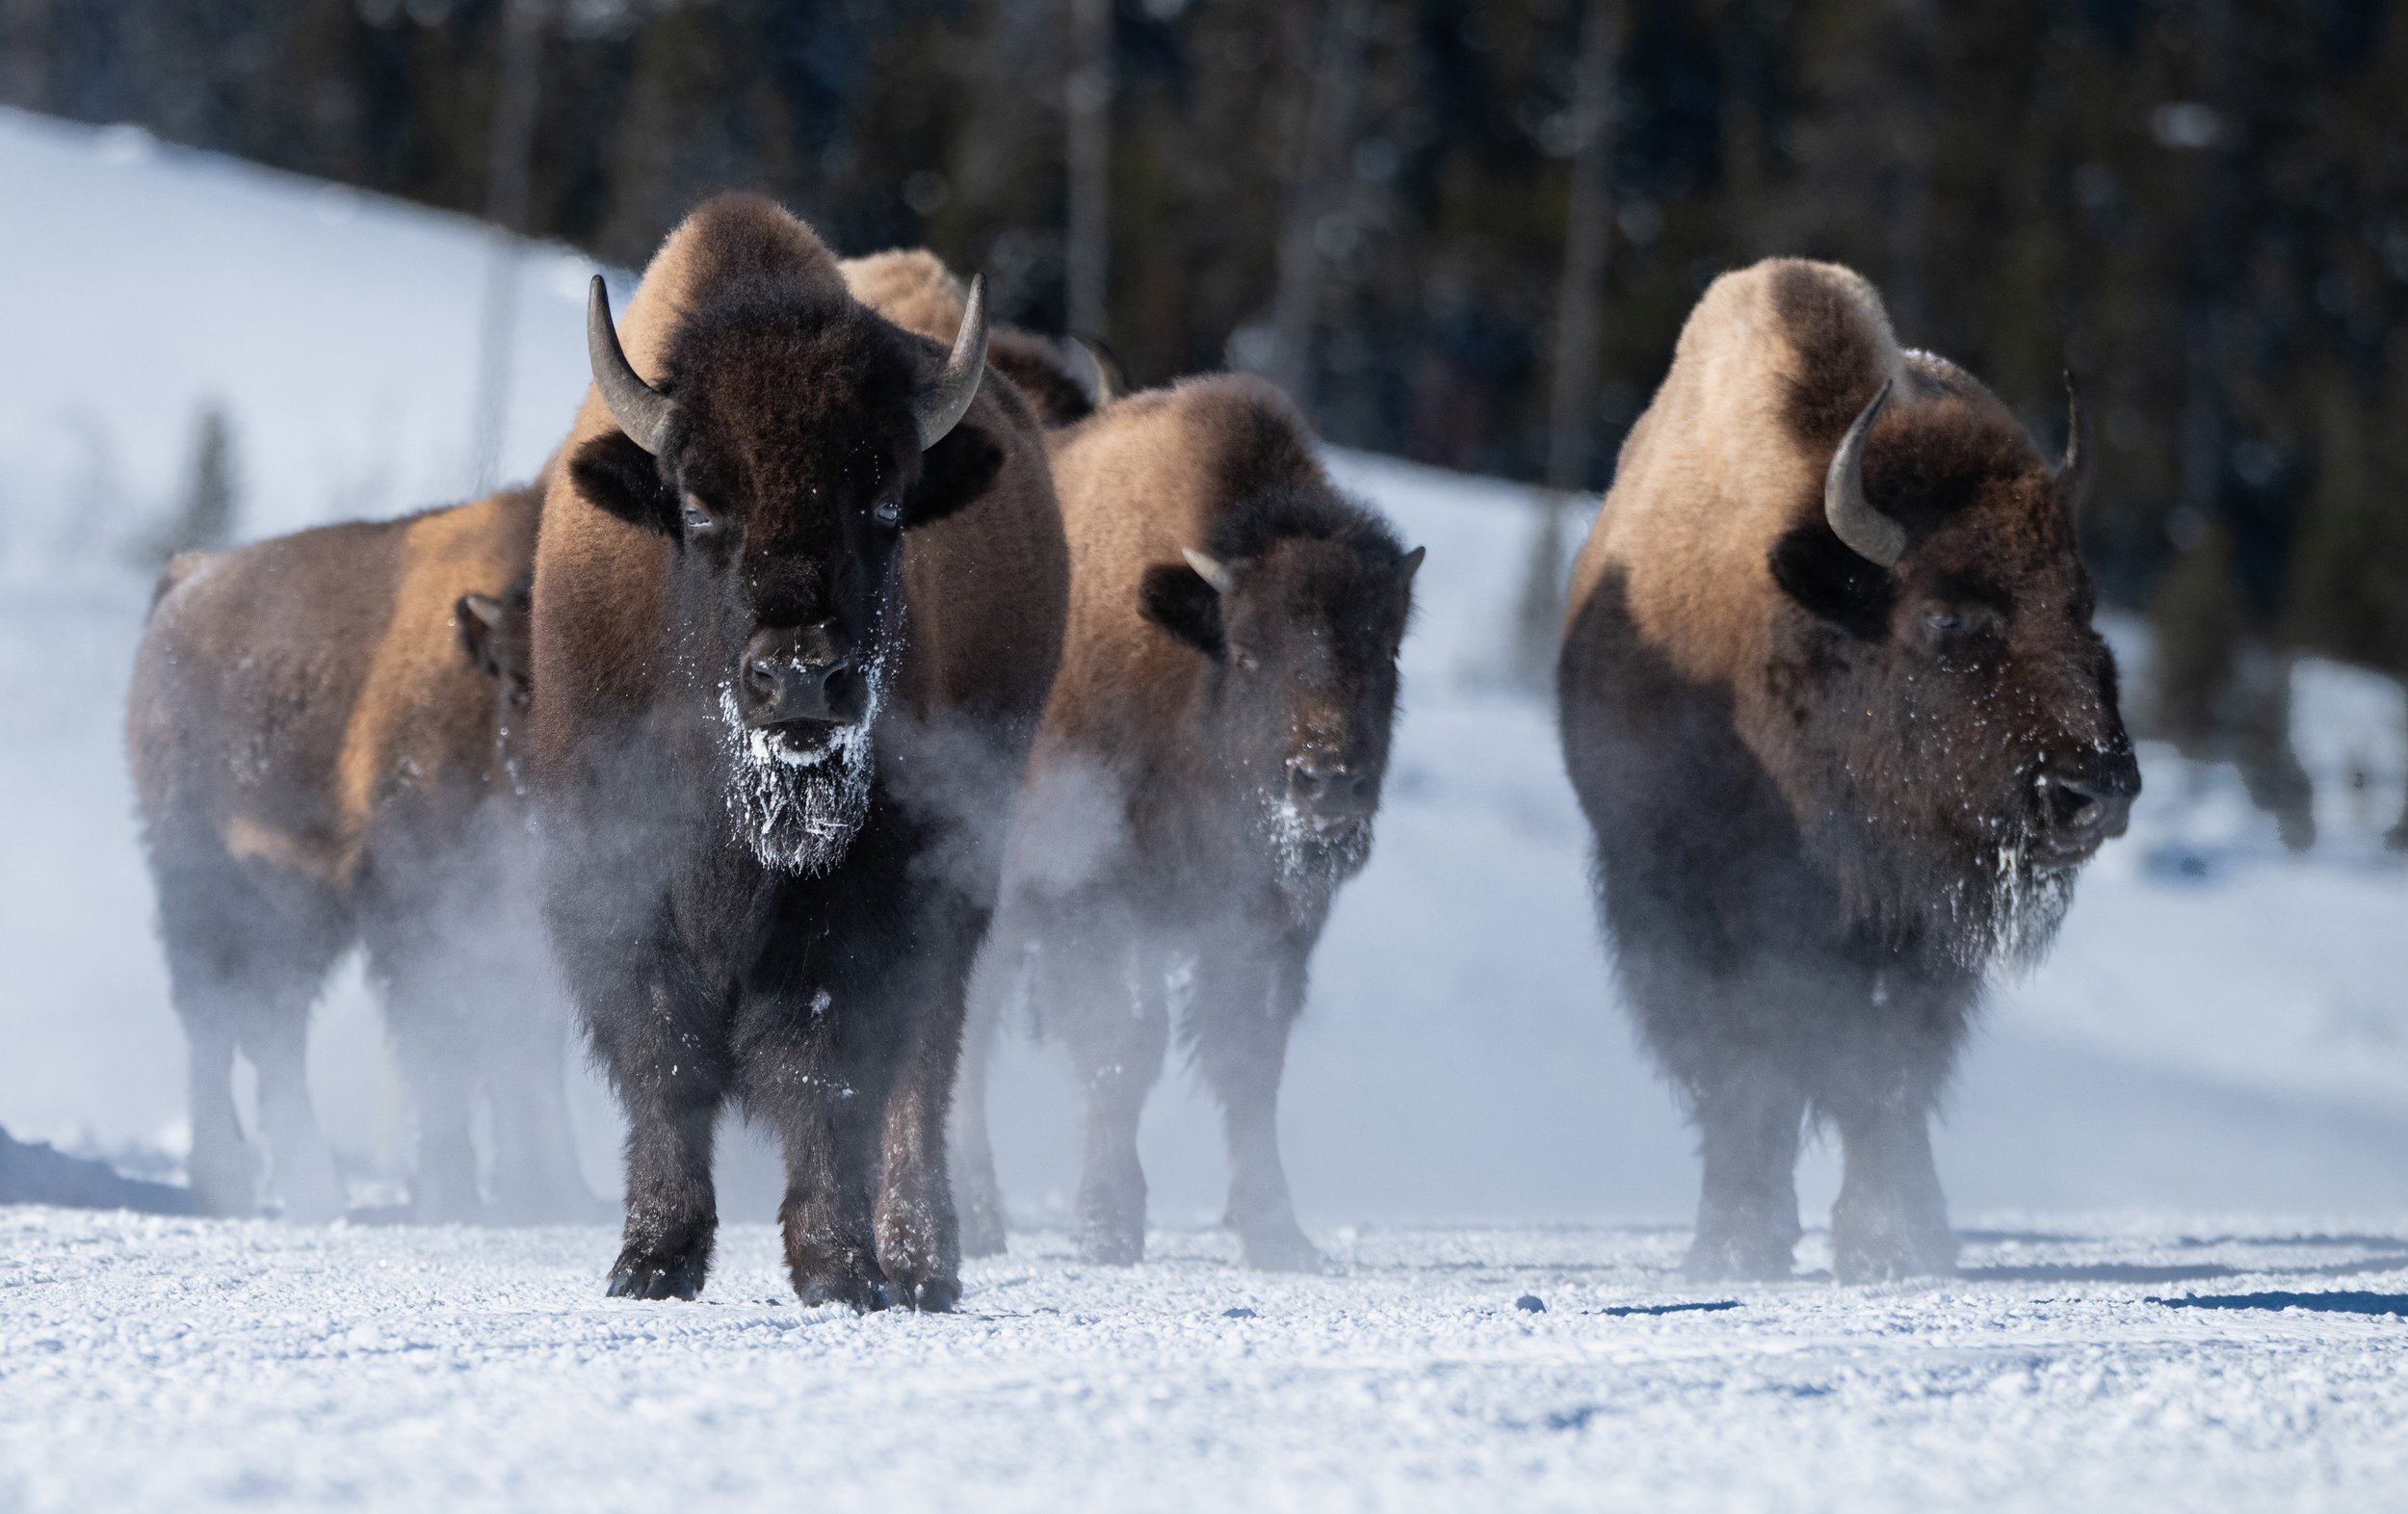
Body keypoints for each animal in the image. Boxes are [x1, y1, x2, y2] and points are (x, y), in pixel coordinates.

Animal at [128, 482, 588, 1223]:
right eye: (519, 685)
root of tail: (187, 579)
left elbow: (523, 1045)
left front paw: (555, 1195)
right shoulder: (413, 910)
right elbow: (446, 1042)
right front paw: (452, 1194)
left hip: (296, 914)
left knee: (270, 1027)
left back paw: (309, 1191)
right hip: (202, 887)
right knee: (216, 1021)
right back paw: (240, 1188)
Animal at [530, 195, 1066, 1310]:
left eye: (887, 499)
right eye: (697, 501)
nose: (803, 680)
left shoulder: (875, 894)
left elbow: (831, 1069)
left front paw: (842, 1268)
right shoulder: (609, 876)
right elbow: (666, 1057)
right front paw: (653, 1261)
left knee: (927, 1062)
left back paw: (922, 1262)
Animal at [948, 373, 1421, 1270]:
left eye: (1387, 651)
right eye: (1249, 651)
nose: (1326, 785)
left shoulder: (1264, 926)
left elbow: (1247, 1064)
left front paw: (1278, 1234)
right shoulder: (1097, 907)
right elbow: (1123, 1048)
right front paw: (1108, 1226)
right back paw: (975, 1218)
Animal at [1557, 260, 2139, 1282]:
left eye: (2084, 604)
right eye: (1947, 615)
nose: (2095, 793)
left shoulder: (1912, 932)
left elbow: (1885, 1074)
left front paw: (1898, 1244)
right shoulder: (1690, 907)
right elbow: (1747, 1068)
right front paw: (1736, 1246)